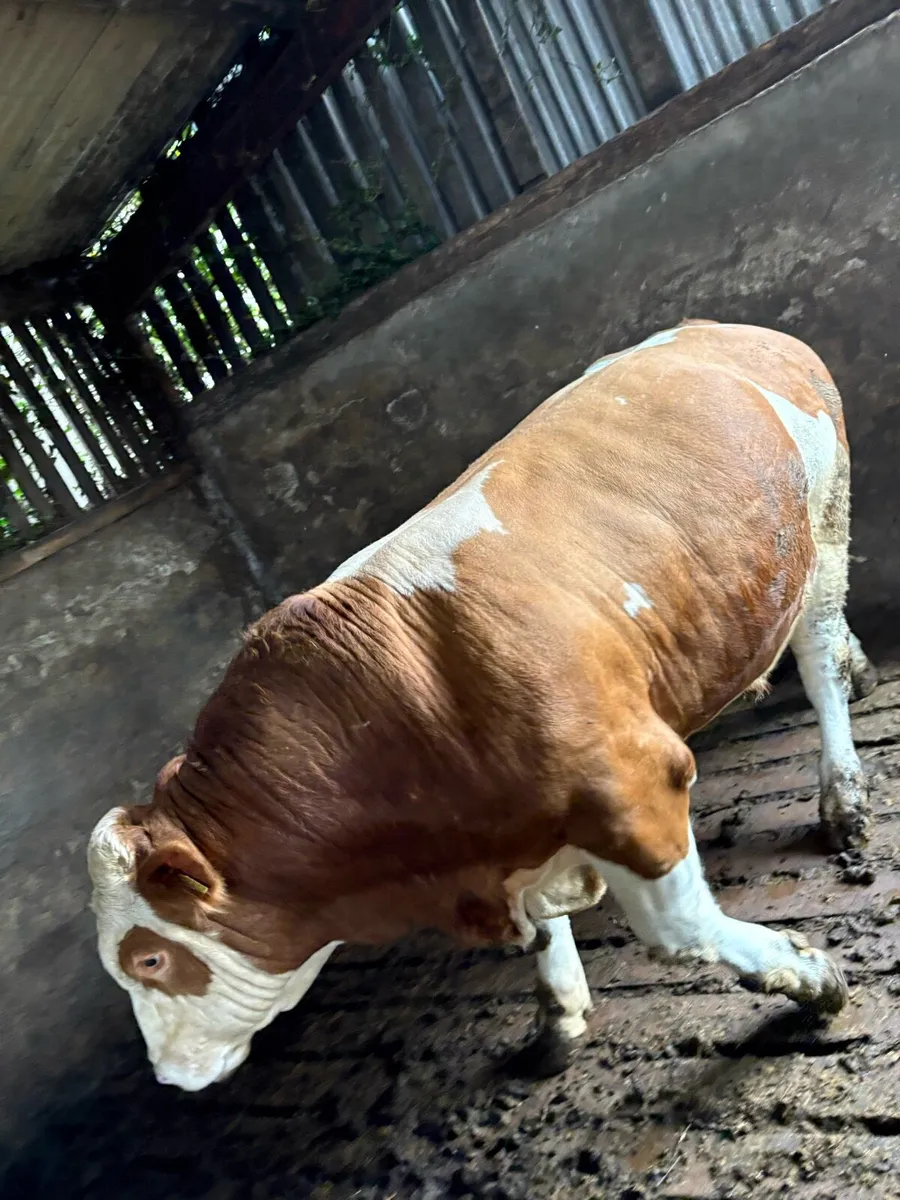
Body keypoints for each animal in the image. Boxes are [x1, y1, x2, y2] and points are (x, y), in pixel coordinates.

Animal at [89, 320, 875, 1092]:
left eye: (149, 959)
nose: (168, 1076)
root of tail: (719, 326)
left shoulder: (632, 780)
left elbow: (680, 934)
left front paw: (812, 978)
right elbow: (546, 929)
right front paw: (558, 1021)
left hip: (826, 512)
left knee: (819, 660)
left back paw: (843, 797)